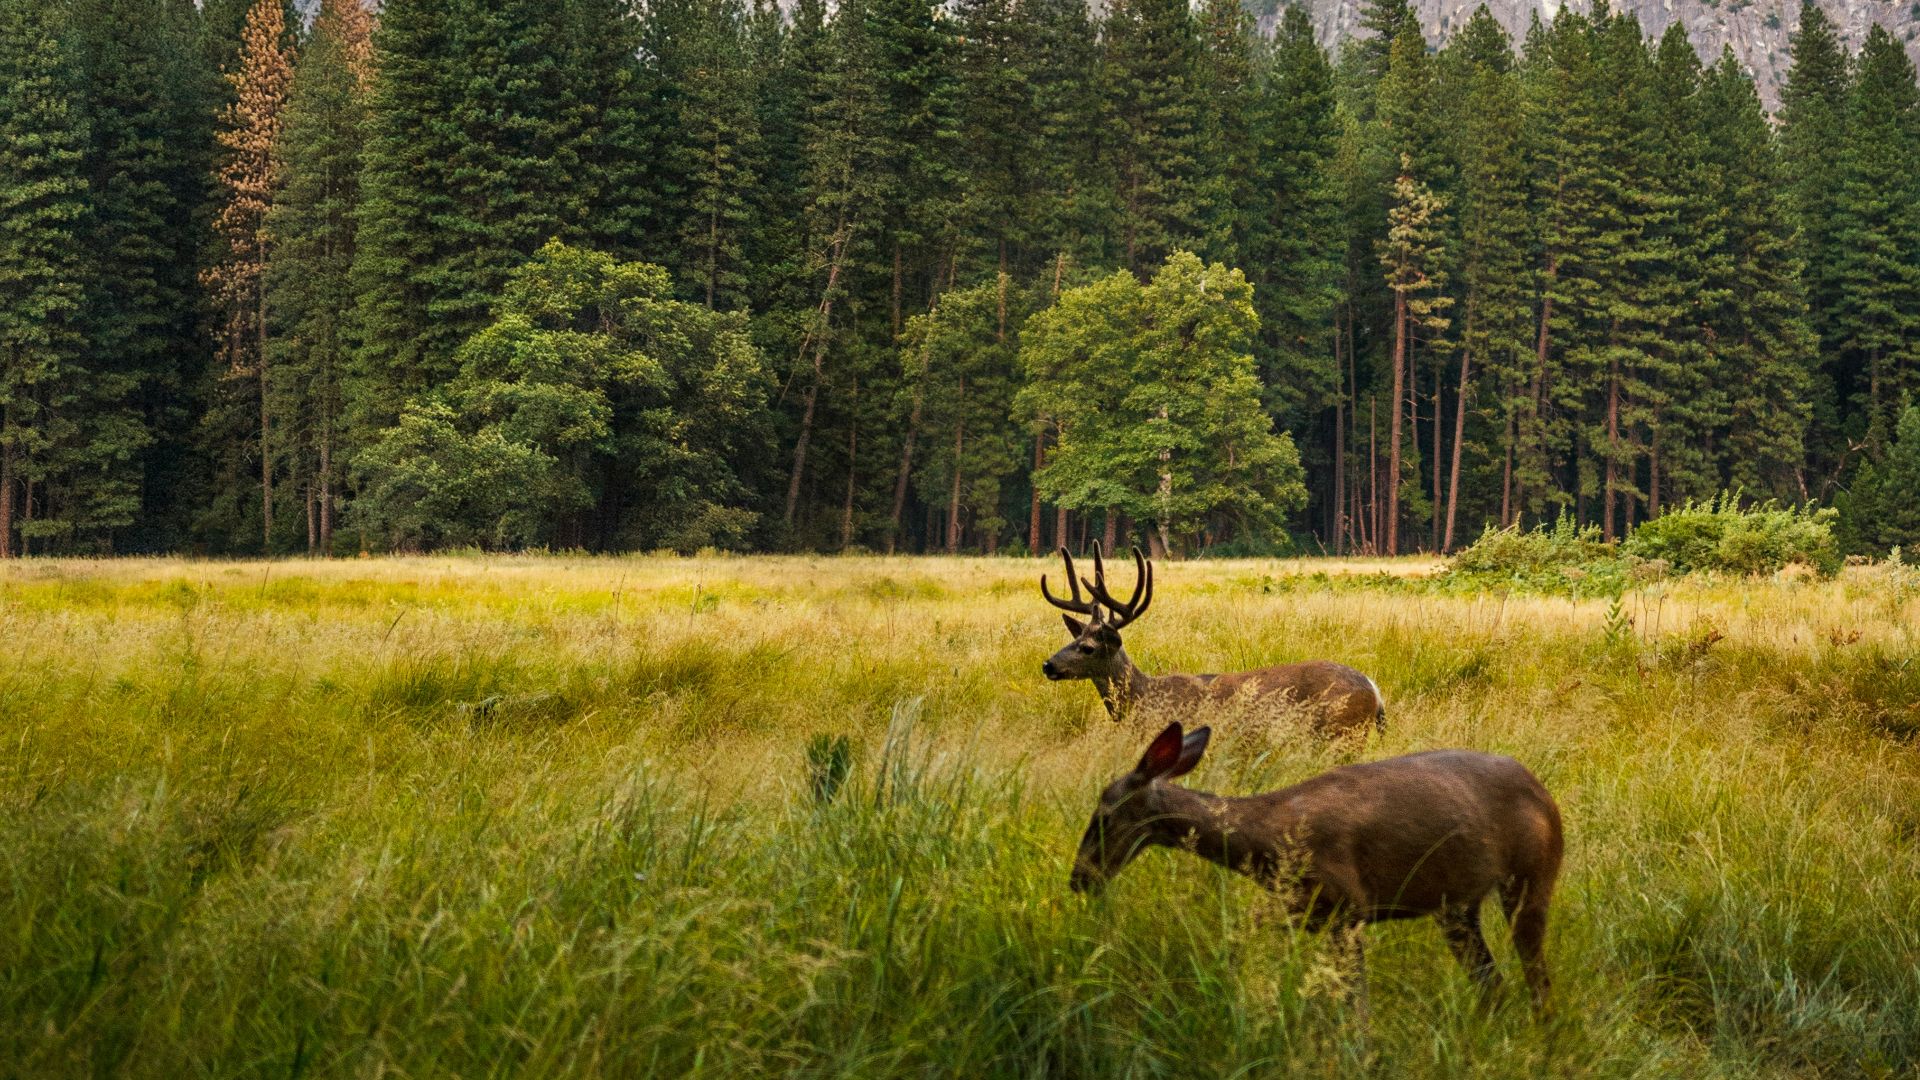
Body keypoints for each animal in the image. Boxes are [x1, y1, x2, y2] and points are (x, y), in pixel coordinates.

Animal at [1039, 544, 1385, 738]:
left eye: (1088, 648)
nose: (1048, 665)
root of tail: (1374, 689)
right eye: (1074, 638)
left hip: (1344, 732)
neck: (1143, 697)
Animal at [1070, 721, 1563, 1017]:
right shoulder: (1301, 910)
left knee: (1537, 981)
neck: (1268, 840)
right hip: (1456, 907)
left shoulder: (1348, 907)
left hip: (1532, 877)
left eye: (1103, 817)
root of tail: (1545, 795)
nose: (1079, 879)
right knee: (1493, 982)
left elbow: (1356, 1003)